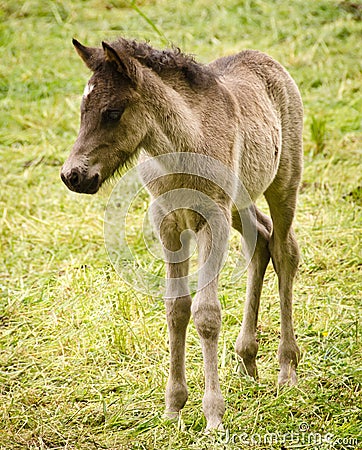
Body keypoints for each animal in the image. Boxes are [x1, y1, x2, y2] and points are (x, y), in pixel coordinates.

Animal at [61, 37, 302, 428]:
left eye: (112, 112)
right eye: (83, 110)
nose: (73, 175)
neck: (182, 148)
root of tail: (265, 59)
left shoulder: (212, 220)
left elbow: (206, 314)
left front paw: (213, 414)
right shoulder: (168, 222)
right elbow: (176, 309)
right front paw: (173, 407)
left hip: (283, 182)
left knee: (284, 250)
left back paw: (287, 369)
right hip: (240, 201)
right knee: (261, 240)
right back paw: (247, 358)